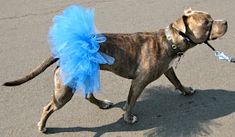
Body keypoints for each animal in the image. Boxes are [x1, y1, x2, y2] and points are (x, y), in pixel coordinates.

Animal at [3, 8, 228, 132]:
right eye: (206, 22)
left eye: (211, 18)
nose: (226, 21)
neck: (170, 40)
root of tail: (67, 48)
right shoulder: (138, 82)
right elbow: (131, 101)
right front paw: (128, 118)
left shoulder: (168, 70)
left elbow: (177, 81)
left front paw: (186, 90)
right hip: (64, 90)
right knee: (48, 107)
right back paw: (42, 125)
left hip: (86, 75)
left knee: (88, 95)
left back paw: (102, 103)